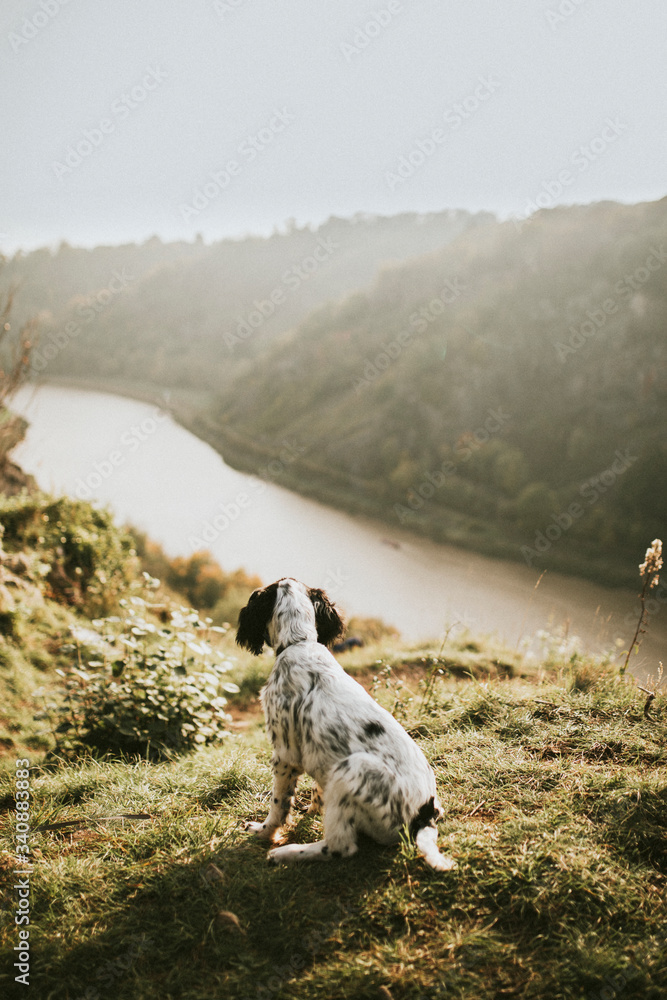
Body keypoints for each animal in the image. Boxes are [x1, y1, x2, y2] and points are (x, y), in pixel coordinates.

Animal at [236, 576, 460, 872]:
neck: (299, 642)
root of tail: (425, 814)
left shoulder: (286, 754)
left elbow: (278, 804)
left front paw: (265, 832)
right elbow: (318, 790)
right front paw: (313, 809)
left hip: (352, 768)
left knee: (339, 847)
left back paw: (286, 853)